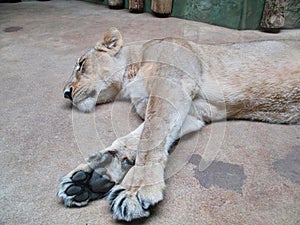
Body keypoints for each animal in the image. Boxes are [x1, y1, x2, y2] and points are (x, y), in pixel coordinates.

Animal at [58, 27, 300, 221]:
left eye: (81, 65)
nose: (66, 93)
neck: (131, 74)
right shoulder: (192, 114)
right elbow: (135, 138)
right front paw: (91, 176)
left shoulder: (172, 84)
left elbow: (150, 137)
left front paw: (135, 189)